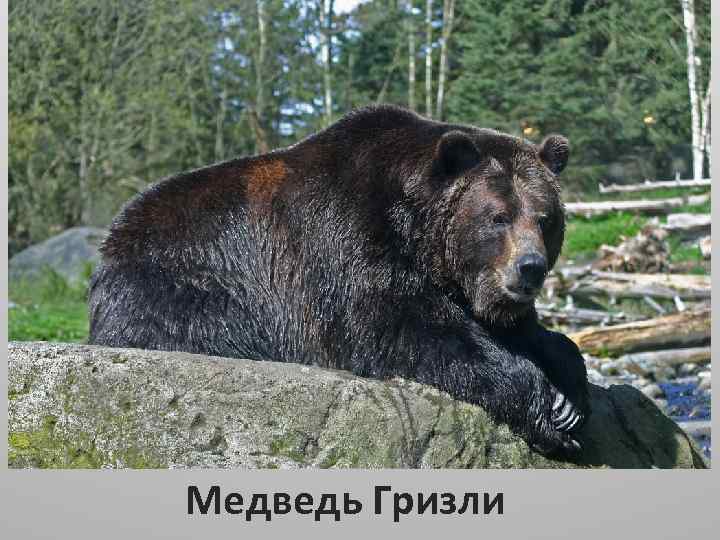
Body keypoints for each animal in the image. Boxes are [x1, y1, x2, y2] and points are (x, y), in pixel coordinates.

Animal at [88, 105, 590, 457]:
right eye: (497, 217)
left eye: (544, 218)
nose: (530, 267)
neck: (415, 227)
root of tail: (111, 238)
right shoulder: (344, 241)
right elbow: (404, 327)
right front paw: (547, 406)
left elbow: (532, 334)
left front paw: (571, 396)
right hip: (180, 279)